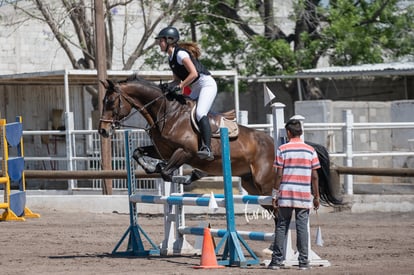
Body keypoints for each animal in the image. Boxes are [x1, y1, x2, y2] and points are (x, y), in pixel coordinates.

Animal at [98, 75, 342, 205]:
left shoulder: (185, 152)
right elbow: (138, 153)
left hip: (265, 184)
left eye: (110, 102)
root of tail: (278, 144)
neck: (168, 113)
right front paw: (151, 167)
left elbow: (167, 172)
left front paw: (185, 176)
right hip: (251, 184)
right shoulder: (163, 151)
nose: (102, 131)